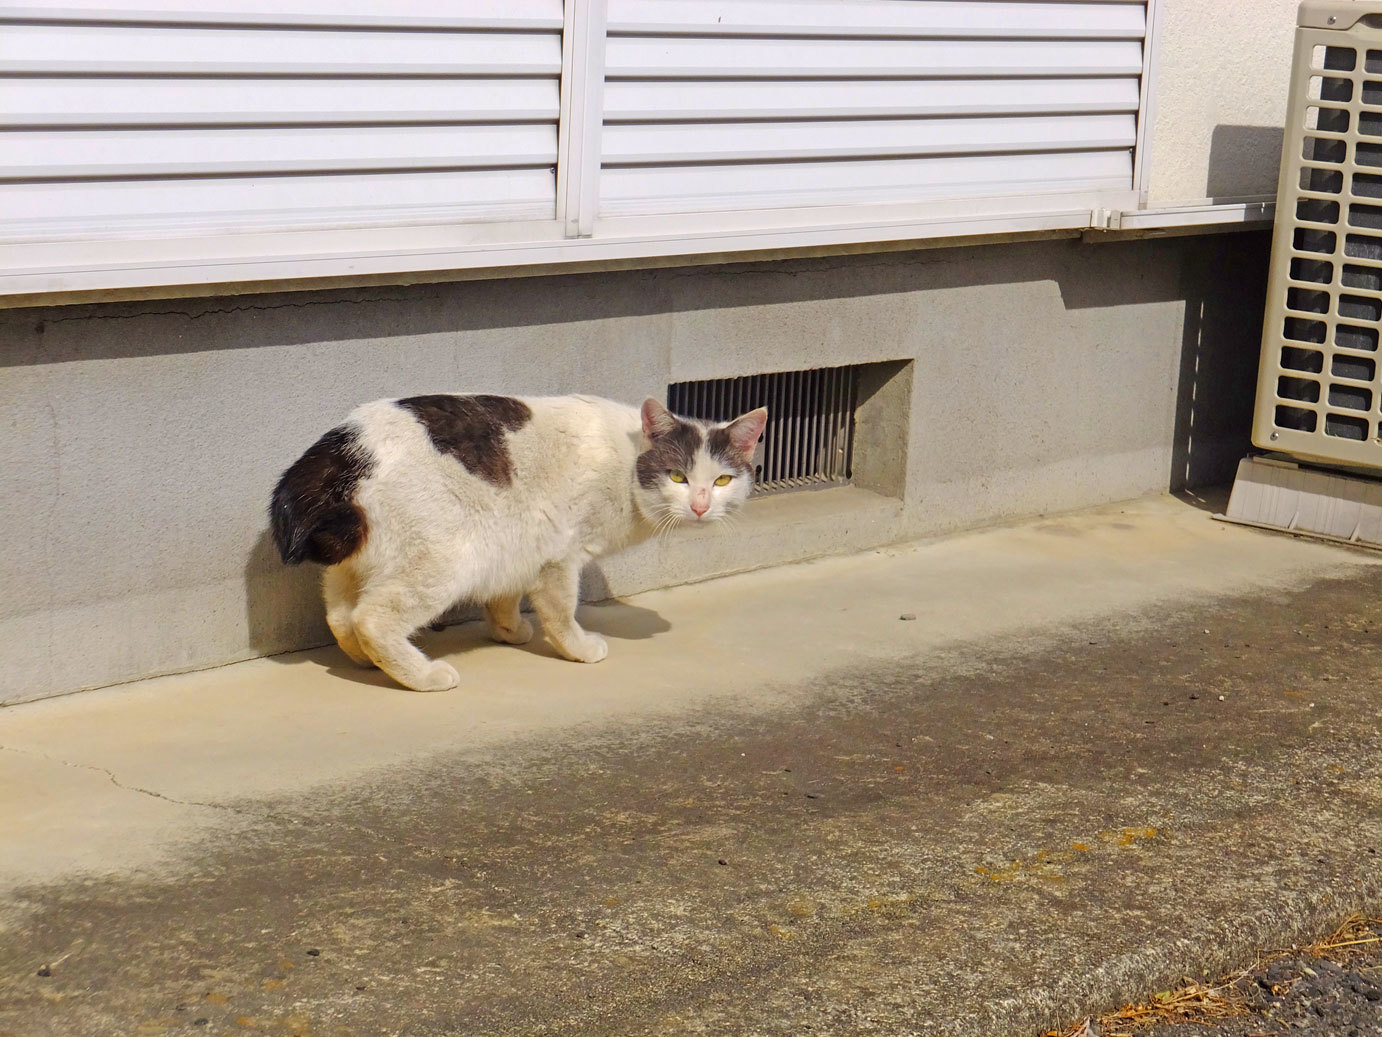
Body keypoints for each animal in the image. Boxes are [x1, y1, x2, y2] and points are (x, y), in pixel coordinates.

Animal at [269, 392, 768, 694]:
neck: (628, 462)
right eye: (678, 476)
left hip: (352, 564)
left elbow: (505, 595)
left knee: (340, 616)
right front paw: (579, 650)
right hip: (442, 564)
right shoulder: (562, 555)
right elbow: (561, 613)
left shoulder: (519, 541)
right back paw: (423, 675)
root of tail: (342, 449)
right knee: (371, 619)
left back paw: (368, 662)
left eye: (722, 480)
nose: (701, 505)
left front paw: (509, 631)